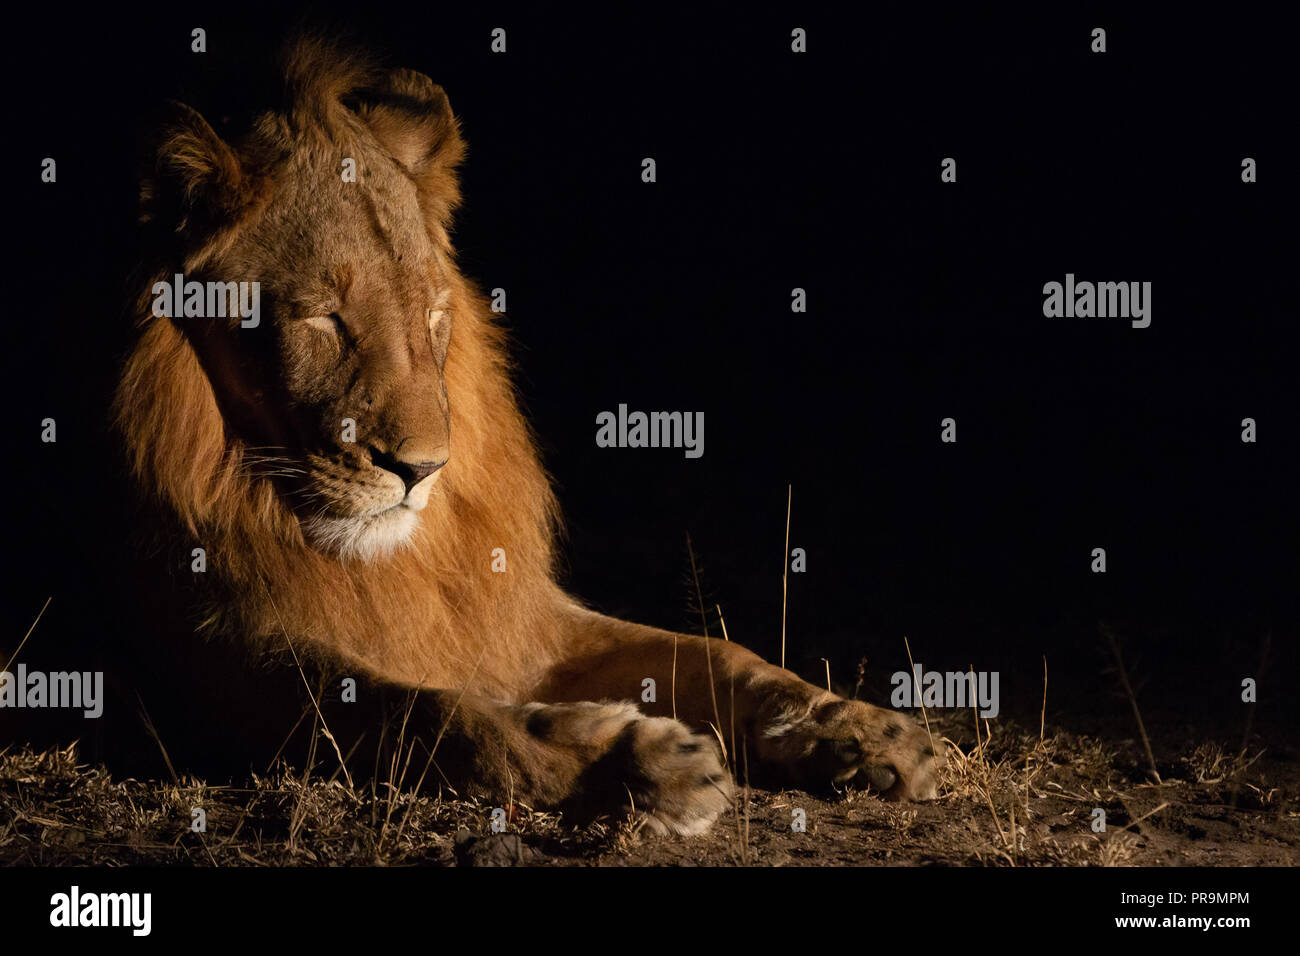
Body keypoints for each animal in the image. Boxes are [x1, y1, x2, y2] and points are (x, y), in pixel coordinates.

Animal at [111, 36, 940, 836]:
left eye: (432, 316)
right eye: (323, 319)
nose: (421, 470)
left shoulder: (518, 619)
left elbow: (717, 654)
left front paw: (865, 730)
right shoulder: (196, 654)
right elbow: (429, 713)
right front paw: (644, 762)